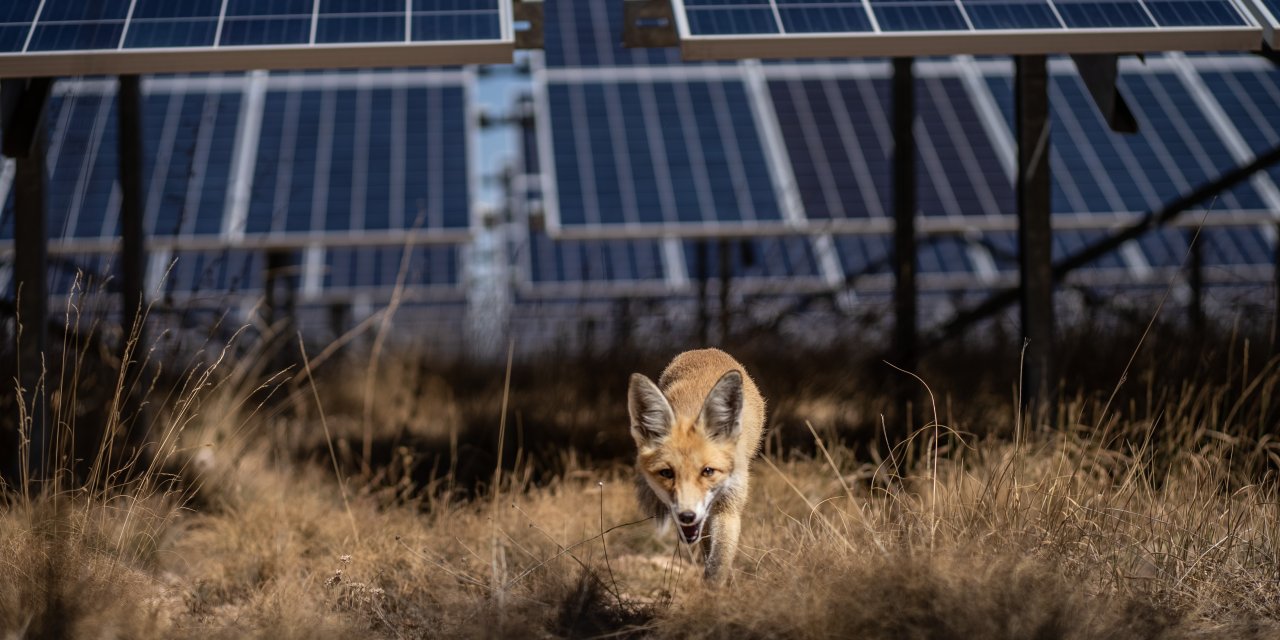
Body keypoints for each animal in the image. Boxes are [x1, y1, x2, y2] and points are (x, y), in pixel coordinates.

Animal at [627, 348, 762, 583]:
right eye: (667, 473)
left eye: (708, 471)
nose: (687, 516)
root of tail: (707, 350)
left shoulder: (729, 506)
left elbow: (719, 563)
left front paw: (715, 590)